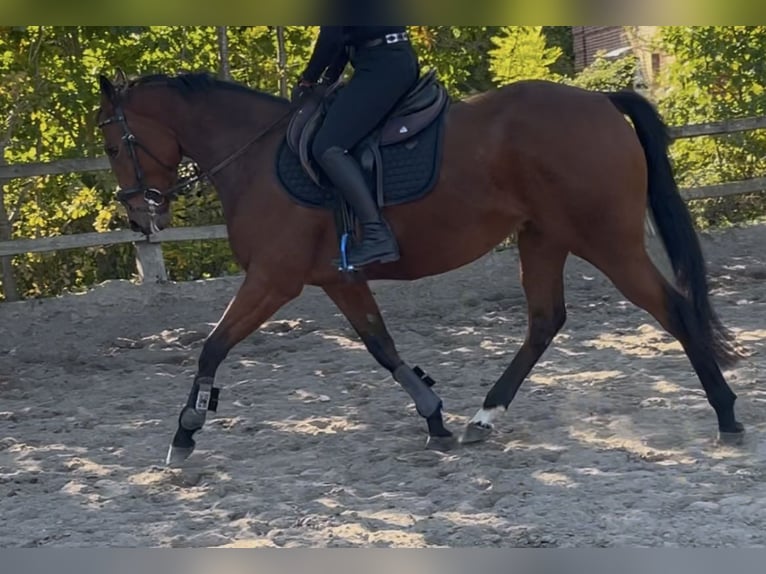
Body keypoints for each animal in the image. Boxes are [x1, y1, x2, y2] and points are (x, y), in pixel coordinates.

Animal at [95, 68, 746, 466]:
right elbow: (382, 347)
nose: (140, 216)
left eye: (111, 144)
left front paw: (185, 432)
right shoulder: (338, 278)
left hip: (606, 240)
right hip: (543, 238)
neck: (257, 158)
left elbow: (212, 346)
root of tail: (601, 100)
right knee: (544, 321)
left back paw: (727, 414)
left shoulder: (274, 280)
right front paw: (434, 419)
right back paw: (484, 416)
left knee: (673, 309)